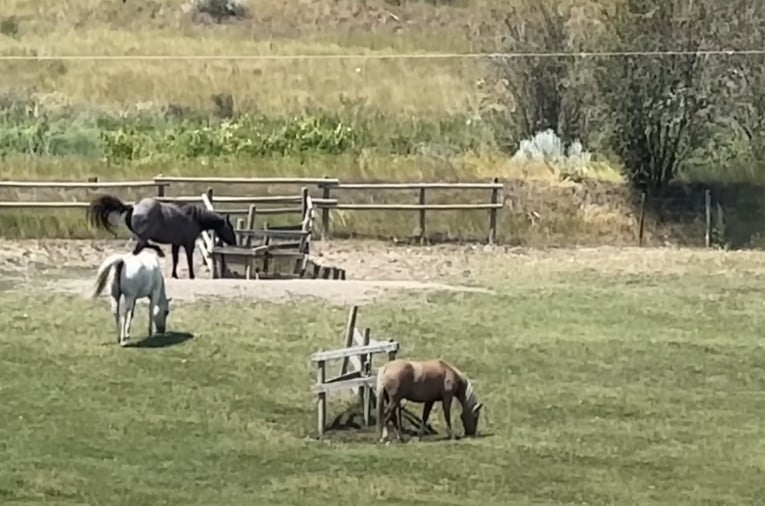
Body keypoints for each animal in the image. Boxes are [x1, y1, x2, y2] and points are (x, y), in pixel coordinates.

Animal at [86, 195, 239, 280]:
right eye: (230, 228)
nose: (234, 242)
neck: (196, 218)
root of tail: (133, 208)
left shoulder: (176, 244)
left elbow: (176, 260)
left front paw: (174, 275)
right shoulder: (189, 244)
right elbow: (189, 260)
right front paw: (191, 275)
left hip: (141, 237)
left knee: (143, 247)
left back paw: (159, 252)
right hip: (142, 238)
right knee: (138, 250)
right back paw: (157, 253)